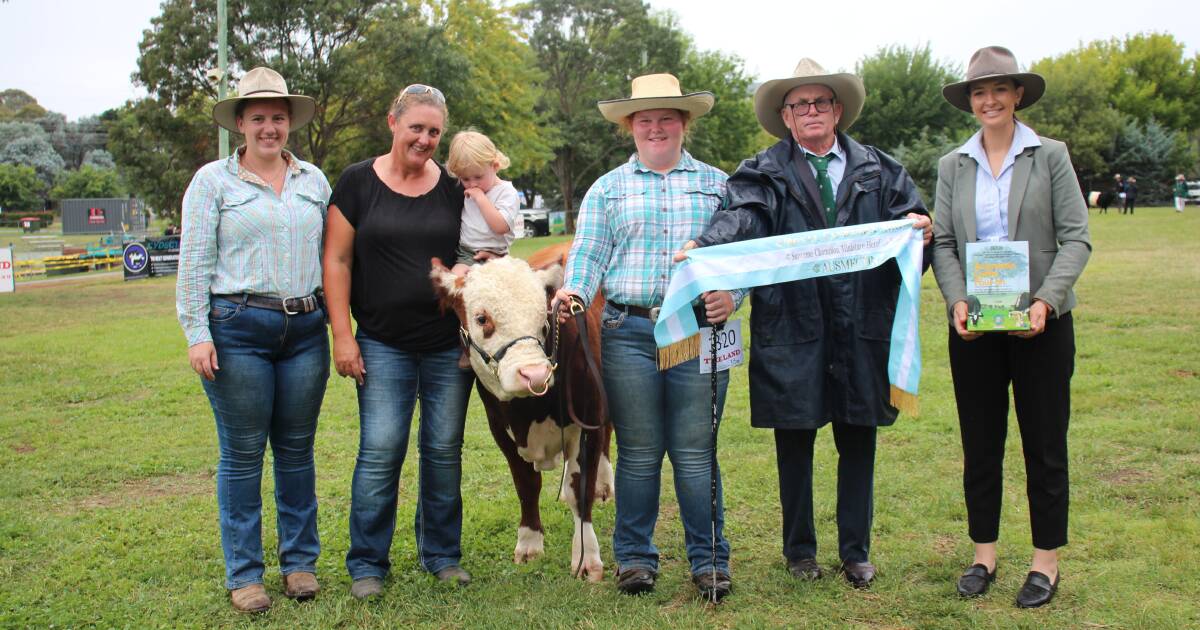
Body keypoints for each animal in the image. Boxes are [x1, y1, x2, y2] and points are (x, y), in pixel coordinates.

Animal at [432, 244, 614, 580]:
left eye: (544, 319)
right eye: (482, 318)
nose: (534, 373)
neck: (530, 409)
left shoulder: (587, 419)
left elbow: (579, 489)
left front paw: (586, 557)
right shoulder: (501, 431)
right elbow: (526, 485)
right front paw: (529, 542)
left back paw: (604, 485)